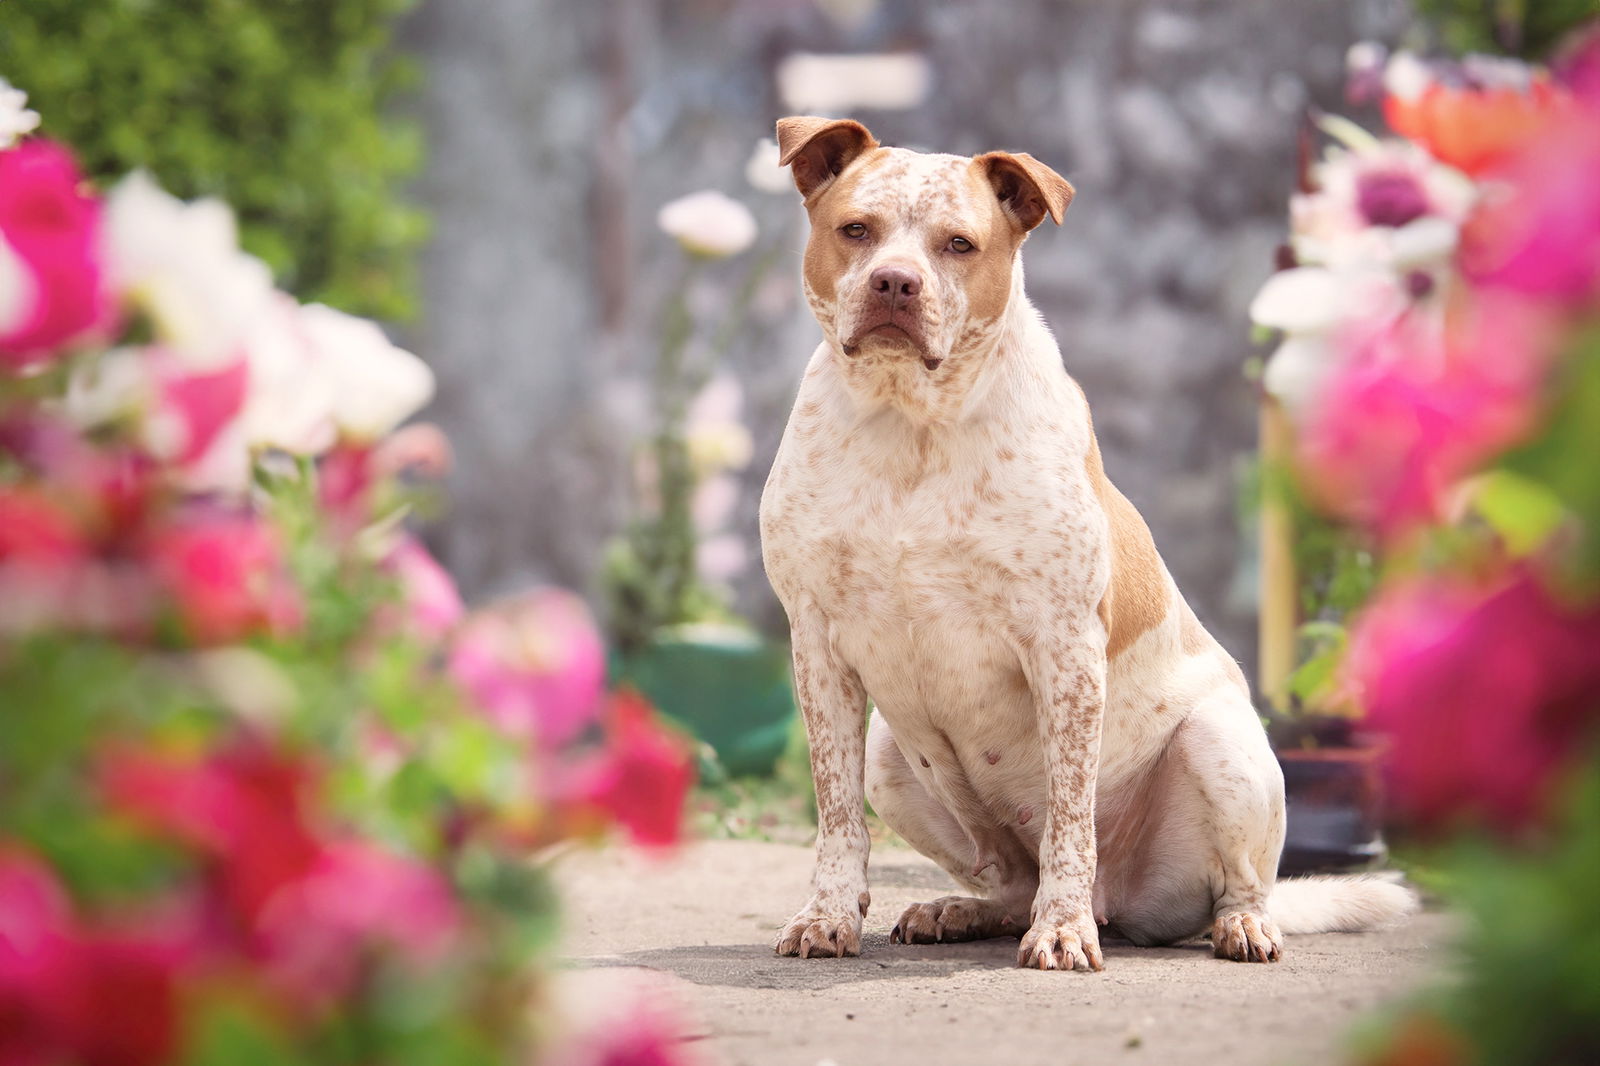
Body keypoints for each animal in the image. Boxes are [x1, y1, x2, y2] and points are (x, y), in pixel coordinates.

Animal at [758, 118, 1414, 973]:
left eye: (959, 244)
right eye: (856, 231)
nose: (895, 284)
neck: (911, 422)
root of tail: (1125, 906)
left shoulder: (1063, 646)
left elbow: (1072, 816)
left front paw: (1063, 929)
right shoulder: (818, 645)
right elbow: (836, 816)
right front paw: (829, 916)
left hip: (1220, 743)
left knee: (1238, 882)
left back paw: (1236, 924)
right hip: (891, 757)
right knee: (1007, 879)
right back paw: (959, 910)